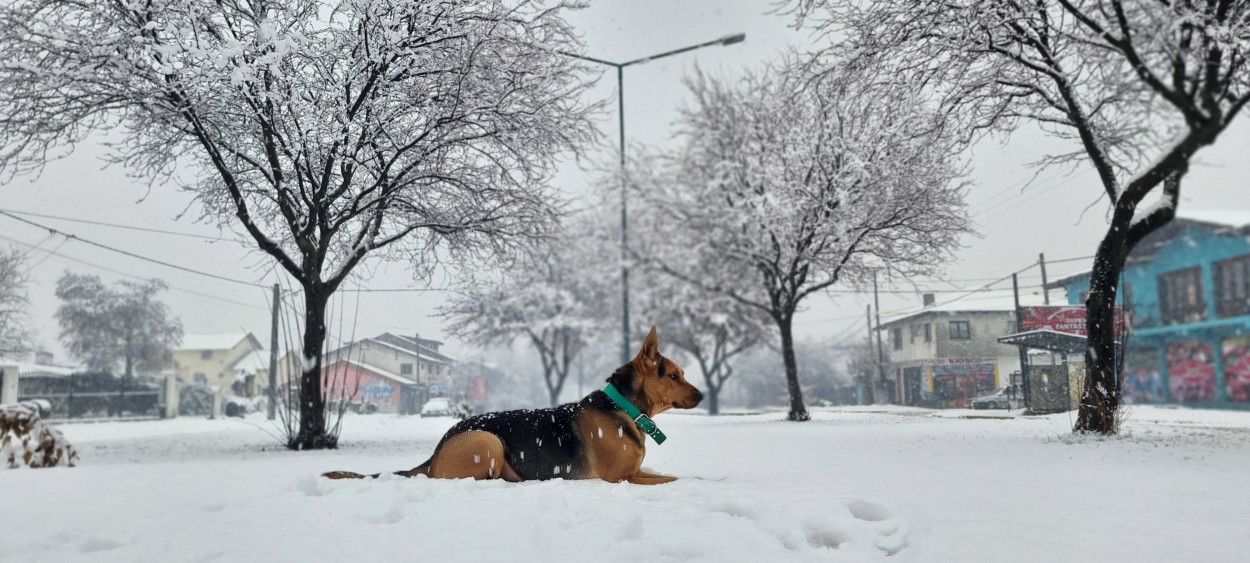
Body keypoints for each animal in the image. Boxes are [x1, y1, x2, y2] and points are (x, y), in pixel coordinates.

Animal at [325, 327, 705, 485]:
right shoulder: (621, 478)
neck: (622, 406)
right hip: (487, 442)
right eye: (674, 375)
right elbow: (672, 480)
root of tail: (433, 456)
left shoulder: (637, 471)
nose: (702, 396)